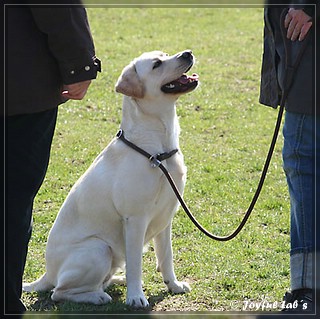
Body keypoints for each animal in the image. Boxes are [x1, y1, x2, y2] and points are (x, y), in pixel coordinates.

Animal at [23, 50, 198, 310]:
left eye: (165, 54)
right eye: (157, 64)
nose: (188, 53)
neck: (158, 153)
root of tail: (47, 273)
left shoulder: (166, 218)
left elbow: (166, 256)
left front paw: (173, 285)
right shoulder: (135, 220)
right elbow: (136, 263)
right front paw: (136, 297)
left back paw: (116, 280)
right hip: (98, 249)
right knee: (59, 292)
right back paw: (97, 296)